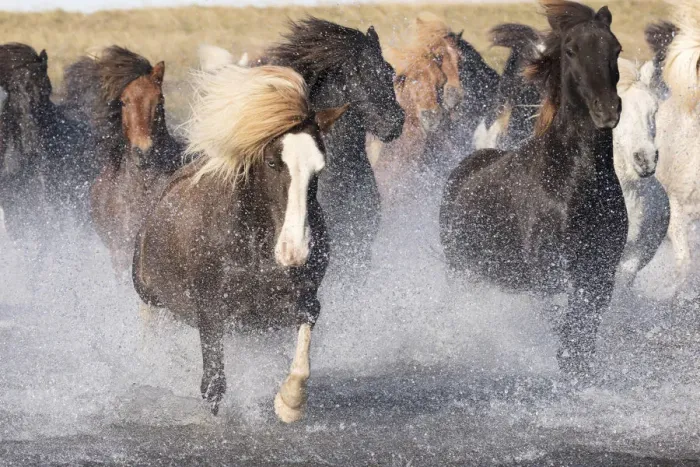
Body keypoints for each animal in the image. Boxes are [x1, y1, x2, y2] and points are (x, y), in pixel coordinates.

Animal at [132, 63, 347, 420]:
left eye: (319, 168)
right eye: (273, 162)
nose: (295, 251)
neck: (252, 247)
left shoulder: (302, 302)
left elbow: (300, 361)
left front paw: (289, 404)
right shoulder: (210, 312)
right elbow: (213, 386)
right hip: (152, 302)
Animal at [440, 0, 625, 375]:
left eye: (616, 49)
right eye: (571, 50)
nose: (607, 111)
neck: (574, 186)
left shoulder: (600, 271)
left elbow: (583, 332)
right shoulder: (547, 275)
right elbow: (566, 330)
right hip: (460, 269)